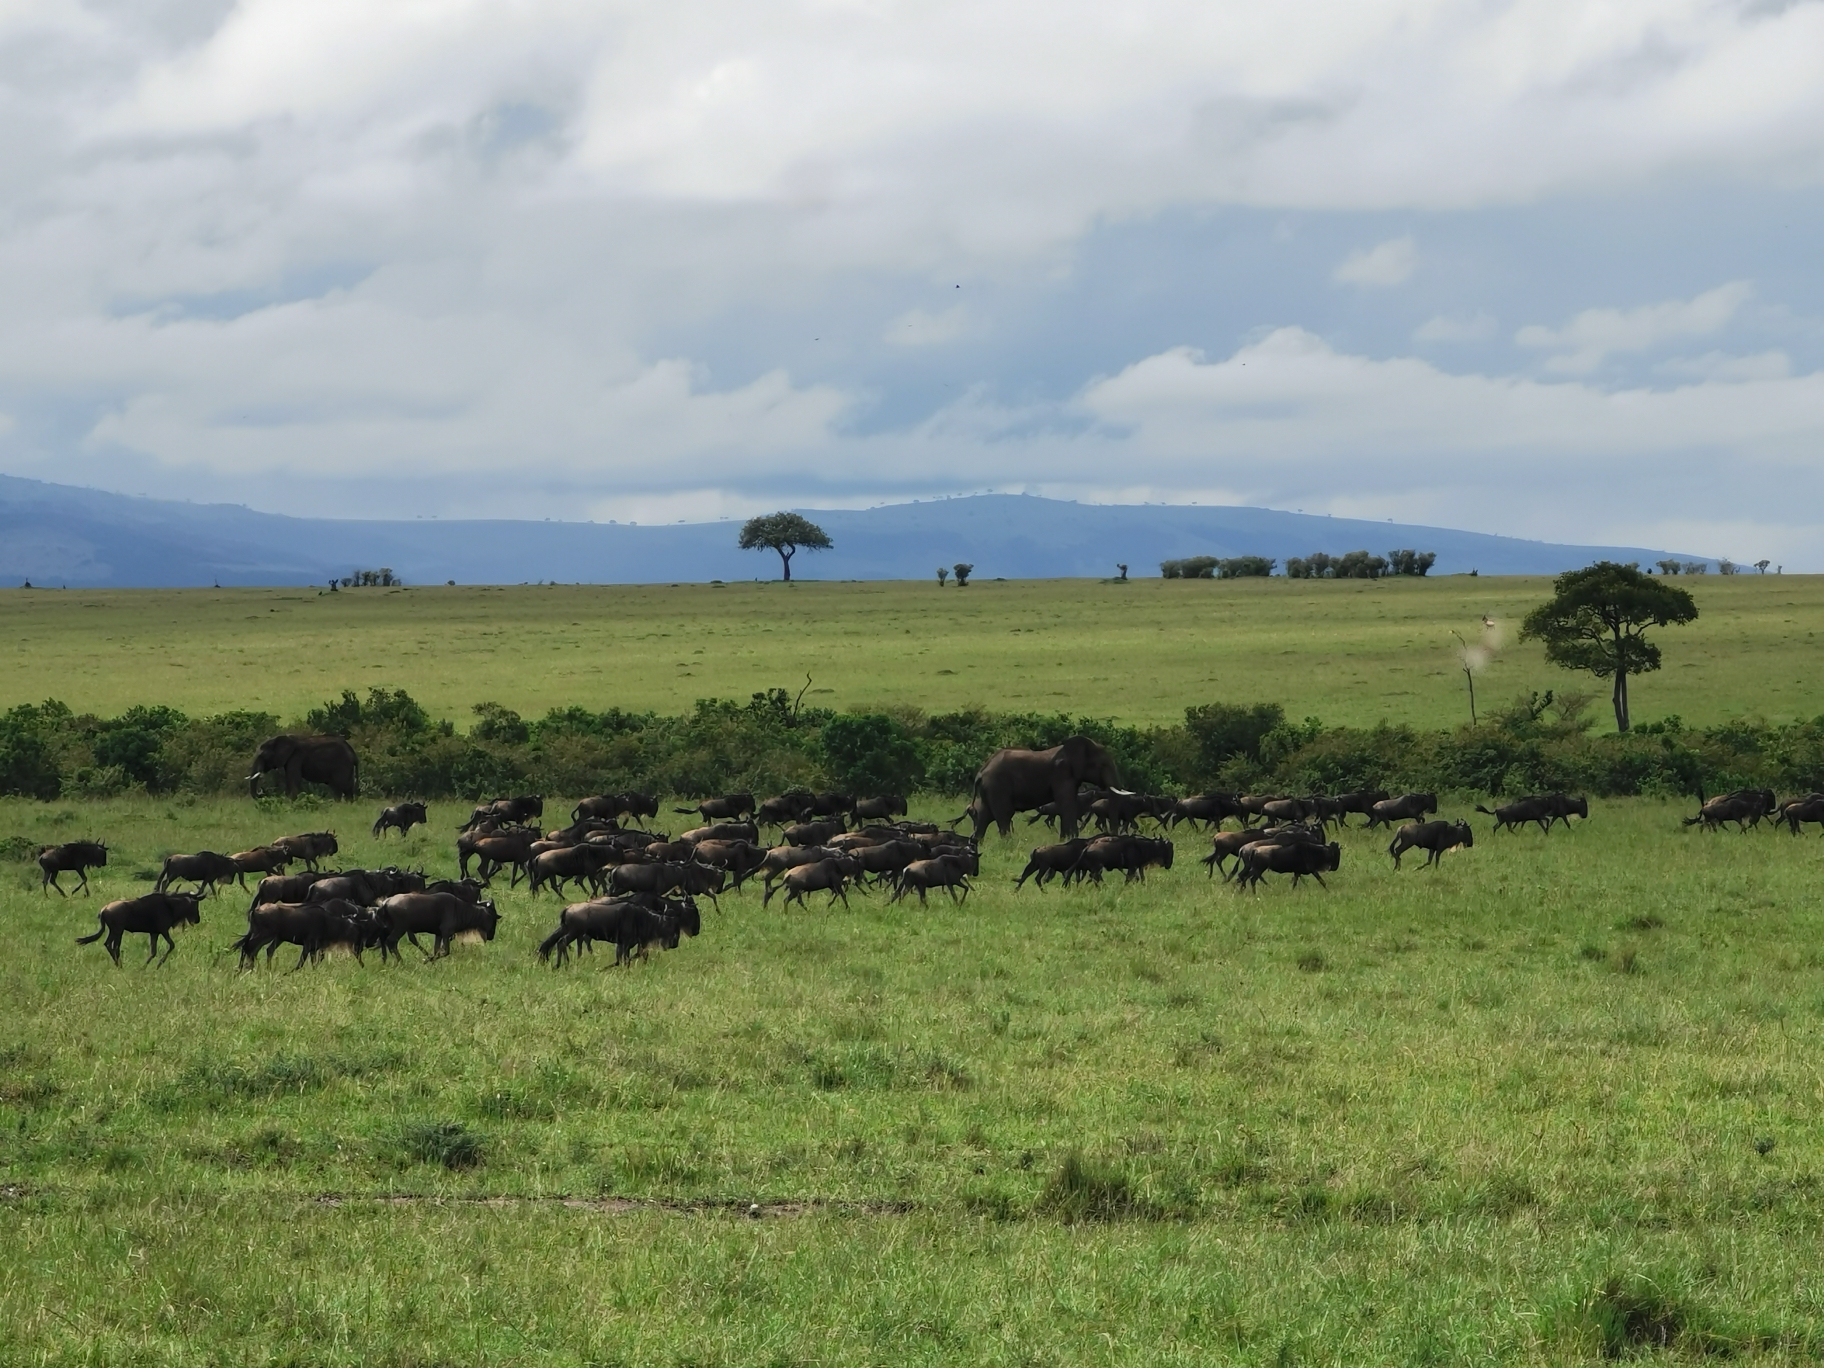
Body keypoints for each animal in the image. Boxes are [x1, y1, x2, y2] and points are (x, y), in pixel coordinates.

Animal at [963, 744, 1116, 842]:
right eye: (1103, 765)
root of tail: (981, 771)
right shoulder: (1062, 775)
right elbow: (1067, 804)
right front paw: (1069, 840)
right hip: (998, 787)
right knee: (1004, 815)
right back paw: (1008, 844)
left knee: (985, 816)